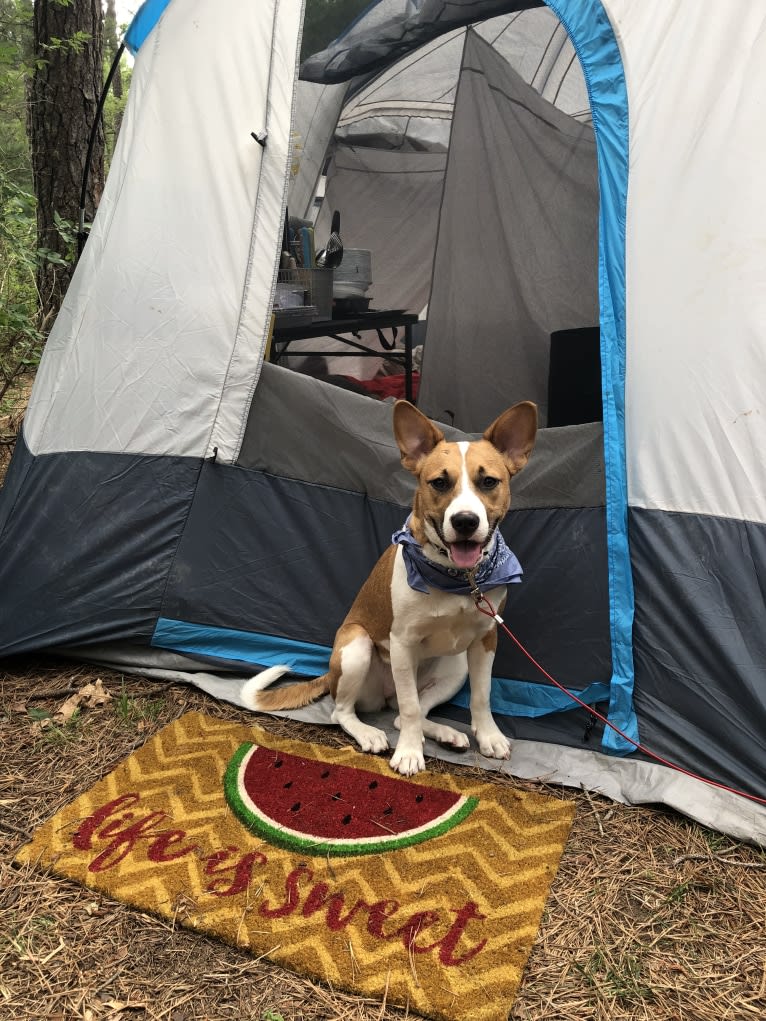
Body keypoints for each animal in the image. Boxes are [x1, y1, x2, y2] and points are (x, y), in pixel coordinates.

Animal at [247, 396, 539, 771]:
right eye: (439, 483)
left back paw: (447, 733)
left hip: (455, 667)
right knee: (351, 711)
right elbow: (412, 708)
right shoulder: (402, 642)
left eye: (488, 481)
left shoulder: (486, 639)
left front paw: (488, 736)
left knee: (400, 714)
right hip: (357, 648)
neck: (459, 579)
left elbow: (481, 695)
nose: (465, 521)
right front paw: (410, 753)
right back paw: (370, 733)